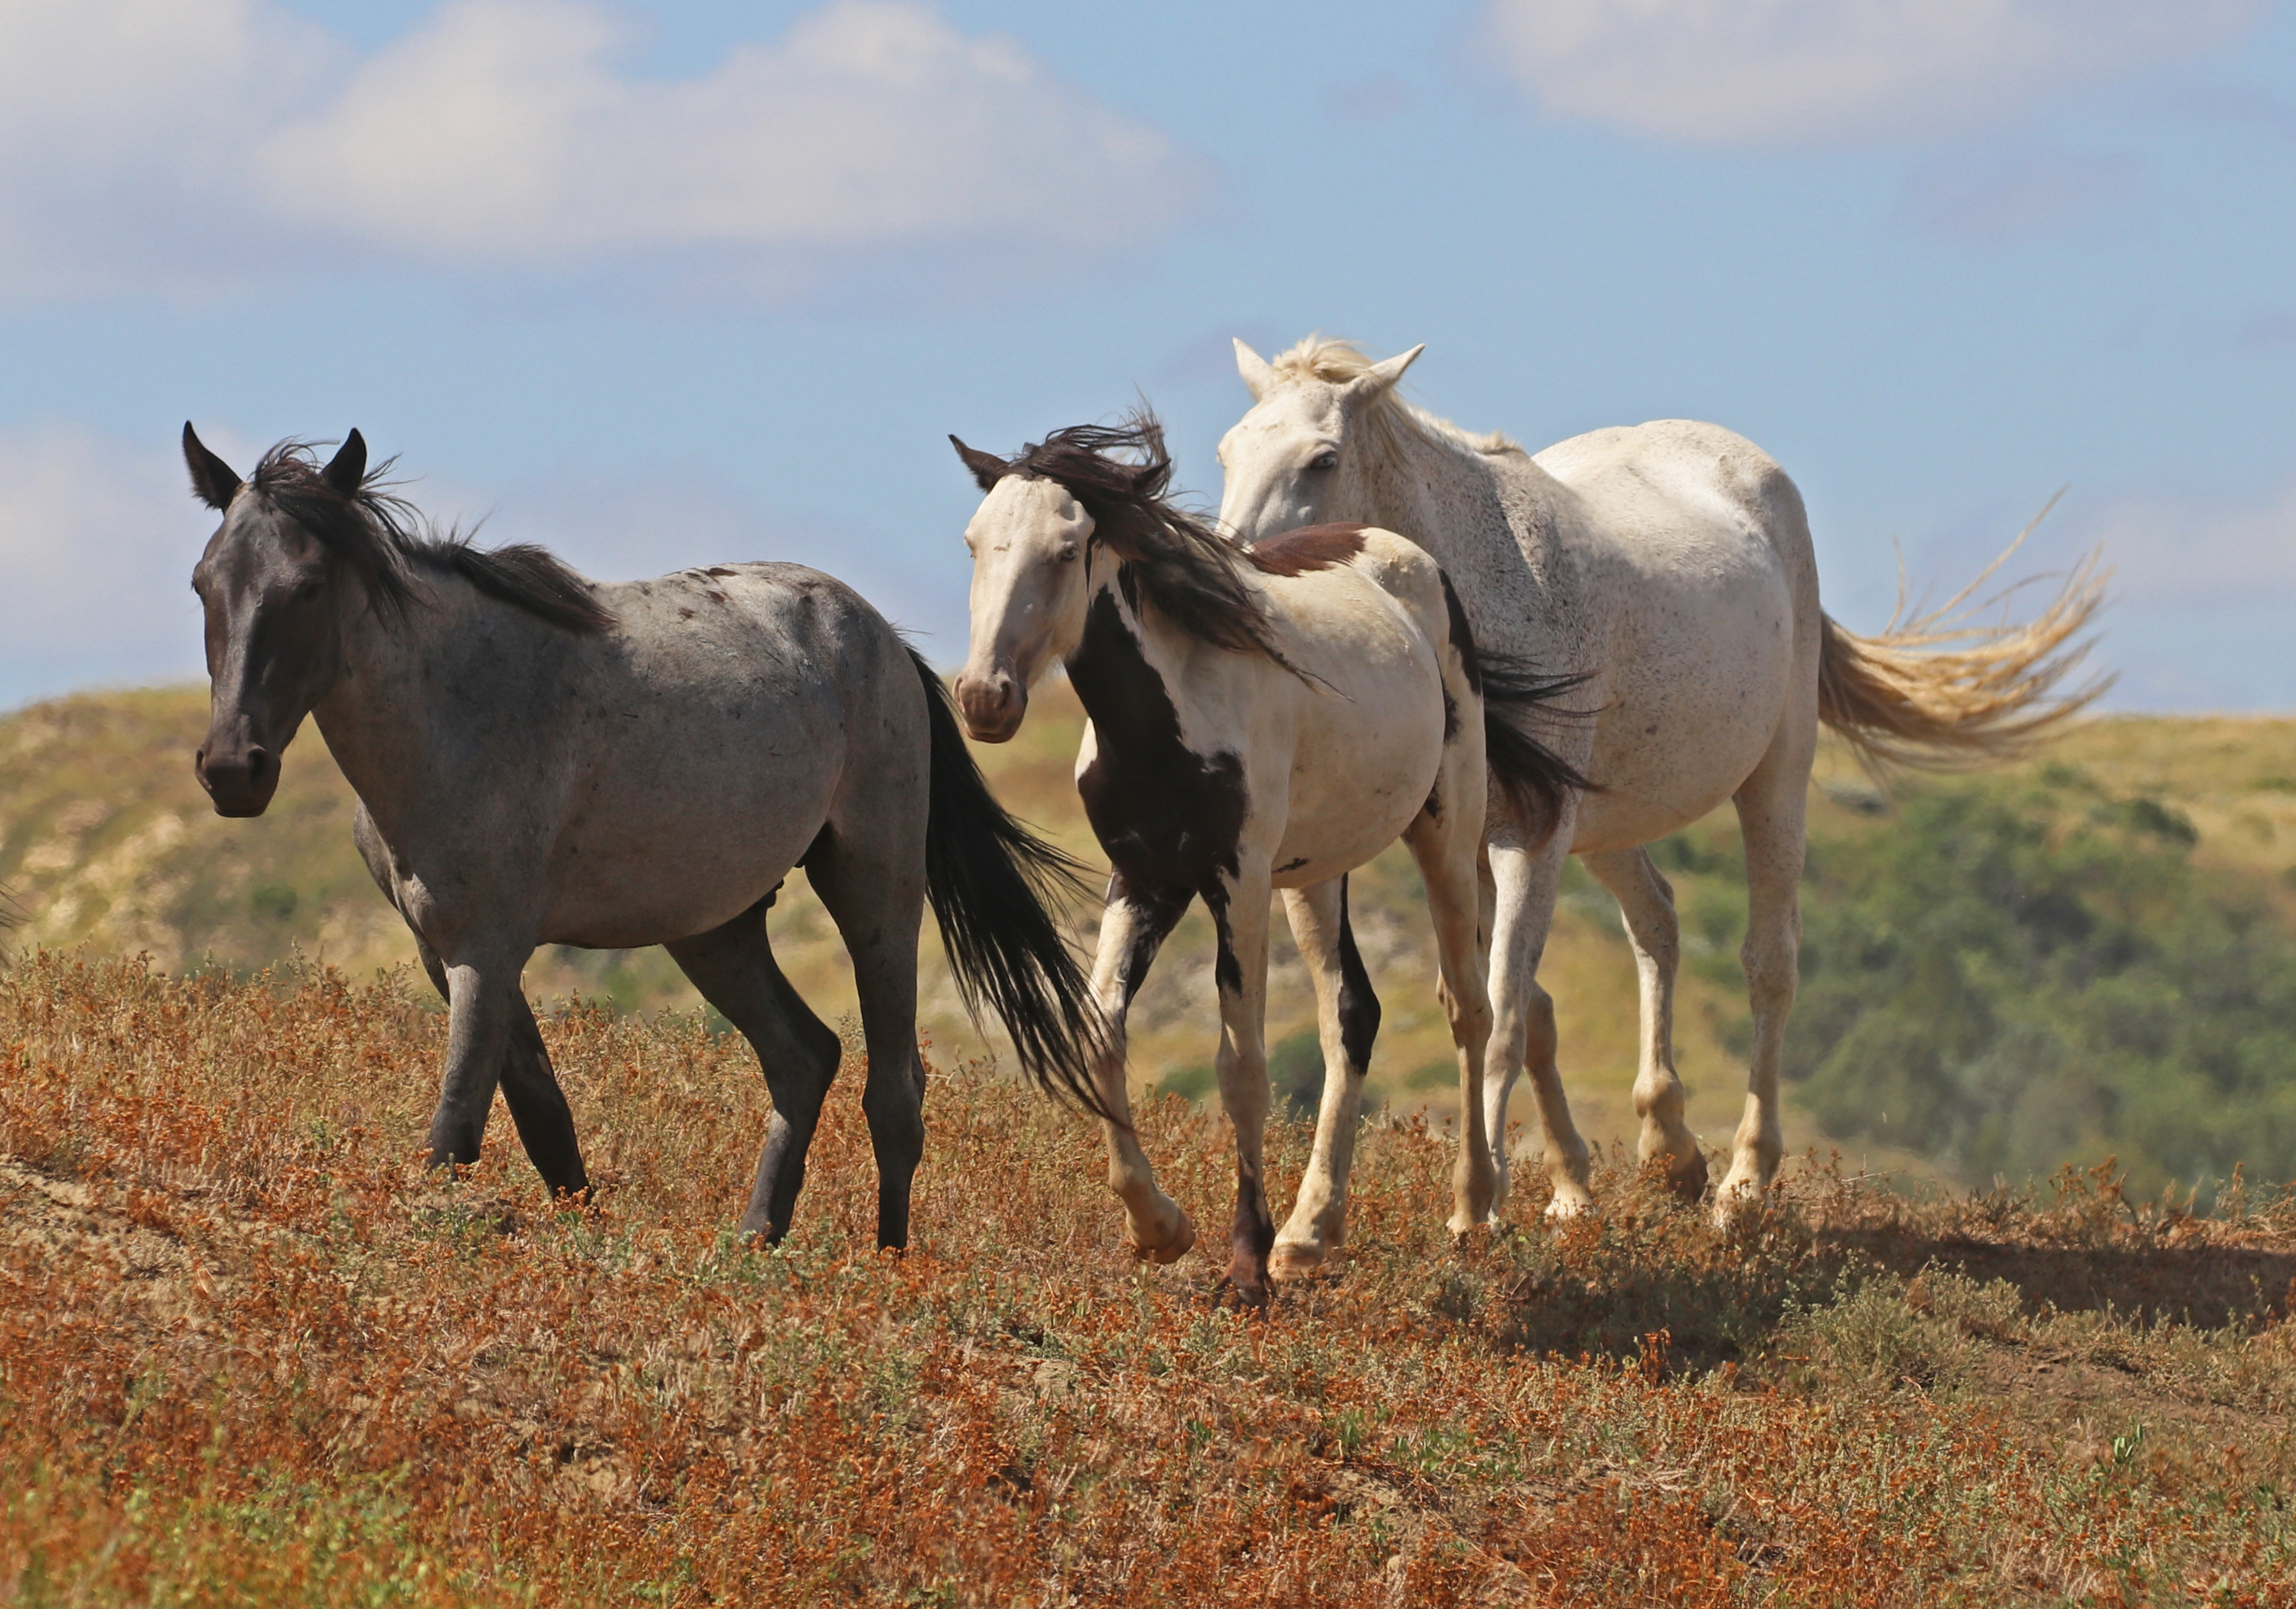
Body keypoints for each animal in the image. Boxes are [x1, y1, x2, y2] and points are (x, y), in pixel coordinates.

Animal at [182, 423, 1107, 1249]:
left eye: (307, 586)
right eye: (202, 583)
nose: (233, 767)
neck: (456, 708)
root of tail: (878, 635)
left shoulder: (487, 948)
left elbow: (456, 1133)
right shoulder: (446, 950)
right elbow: (542, 1115)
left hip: (874, 886)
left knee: (894, 1091)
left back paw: (888, 1263)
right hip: (714, 928)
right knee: (803, 1056)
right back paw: (753, 1240)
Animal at [946, 412, 1588, 1301]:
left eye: (1068, 548)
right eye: (975, 541)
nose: (985, 699)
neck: (1170, 719)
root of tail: (1406, 555)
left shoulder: (1235, 880)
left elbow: (1241, 1064)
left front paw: (1245, 1264)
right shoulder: (1143, 878)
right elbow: (1101, 1032)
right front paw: (1158, 1226)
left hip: (1446, 831)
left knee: (1471, 1007)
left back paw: (1467, 1210)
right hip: (1315, 874)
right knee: (1352, 1011)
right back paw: (1310, 1235)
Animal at [1216, 337, 2104, 1220]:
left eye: (1322, 459)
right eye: (1229, 450)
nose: (1238, 572)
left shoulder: (1530, 836)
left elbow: (1503, 1016)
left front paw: (1487, 1199)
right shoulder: (1481, 843)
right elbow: (1525, 1009)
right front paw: (1566, 1185)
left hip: (1774, 778)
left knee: (1769, 962)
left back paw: (1745, 1179)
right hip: (1606, 828)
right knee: (1659, 923)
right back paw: (1668, 1149)